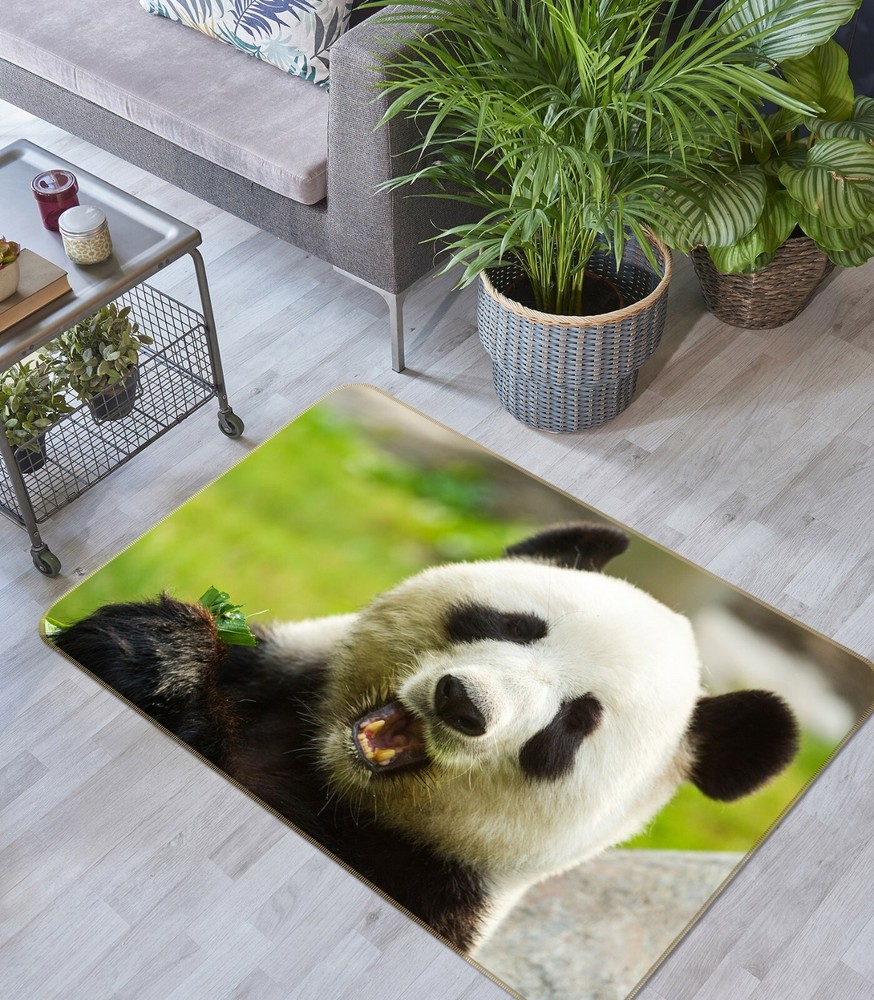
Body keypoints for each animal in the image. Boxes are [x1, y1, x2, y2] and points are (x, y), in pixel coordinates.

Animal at [52, 523, 799, 954]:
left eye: (574, 723)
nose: (463, 704)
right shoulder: (271, 674)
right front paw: (160, 653)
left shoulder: (431, 887)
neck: (331, 780)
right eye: (516, 625)